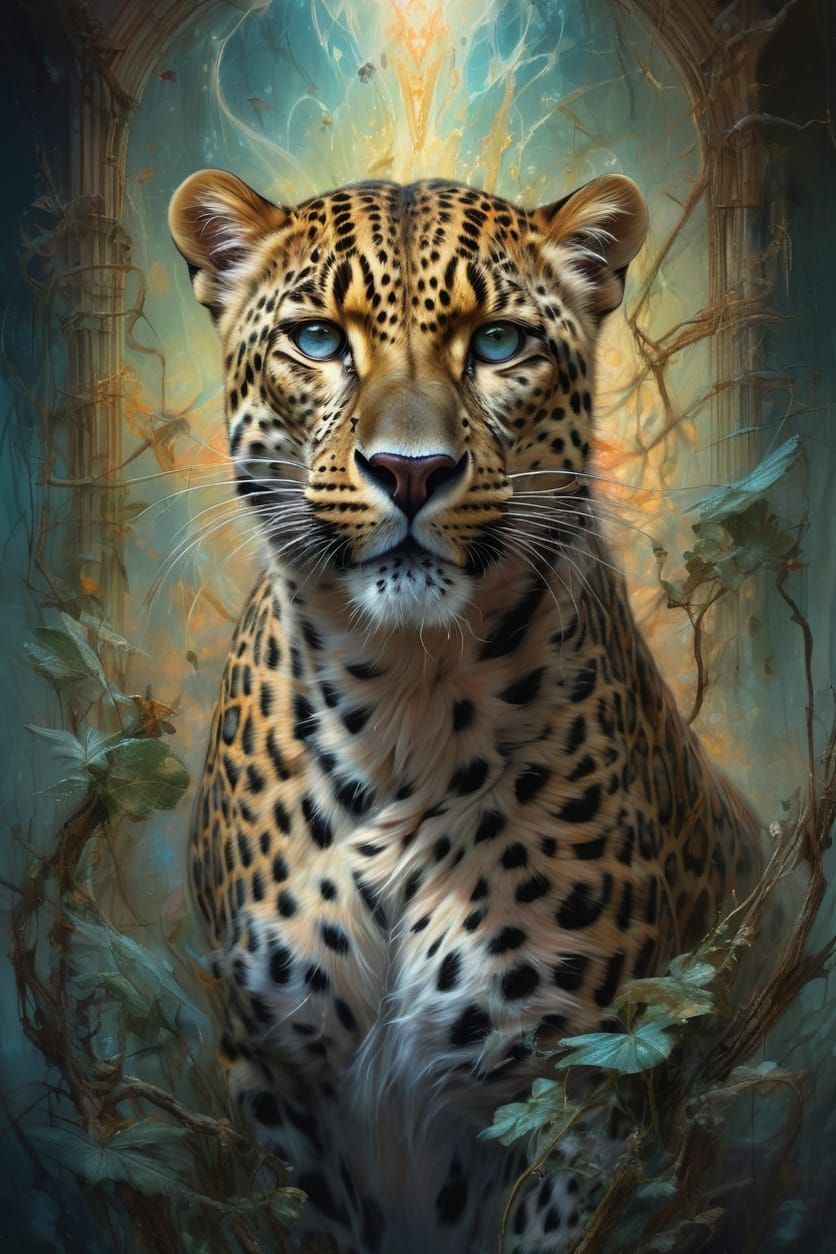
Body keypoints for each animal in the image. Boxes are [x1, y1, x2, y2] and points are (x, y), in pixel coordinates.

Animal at [169, 168, 762, 1253]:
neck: (402, 699)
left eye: (496, 344)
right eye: (317, 340)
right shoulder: (274, 1076)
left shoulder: (584, 1082)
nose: (411, 471)